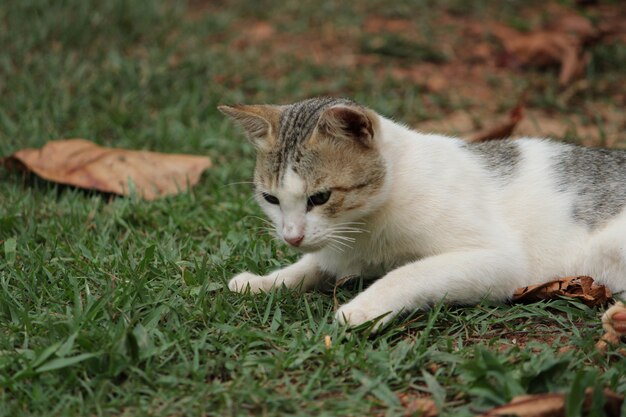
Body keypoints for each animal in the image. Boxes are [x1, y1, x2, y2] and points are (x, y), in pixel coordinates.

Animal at [218, 96, 624, 328]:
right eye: (270, 199)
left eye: (319, 197)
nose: (292, 236)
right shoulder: (339, 250)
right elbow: (310, 266)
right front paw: (265, 281)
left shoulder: (500, 260)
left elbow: (408, 273)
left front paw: (364, 307)